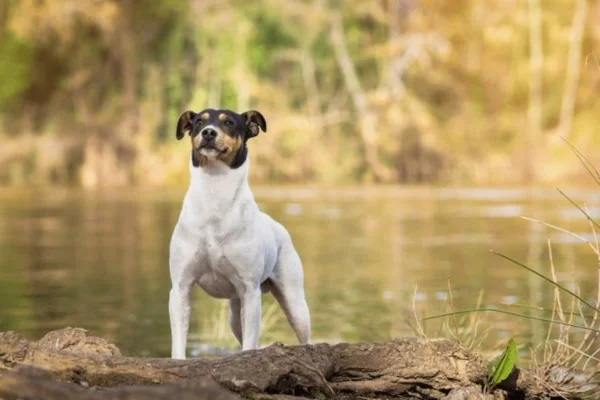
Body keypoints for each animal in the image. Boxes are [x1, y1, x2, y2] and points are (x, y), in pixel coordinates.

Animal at [168, 107, 310, 360]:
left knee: (304, 337)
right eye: (198, 122)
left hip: (294, 303)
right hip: (235, 314)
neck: (214, 190)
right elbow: (178, 342)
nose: (208, 132)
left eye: (229, 123)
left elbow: (250, 345)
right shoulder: (180, 288)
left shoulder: (250, 291)